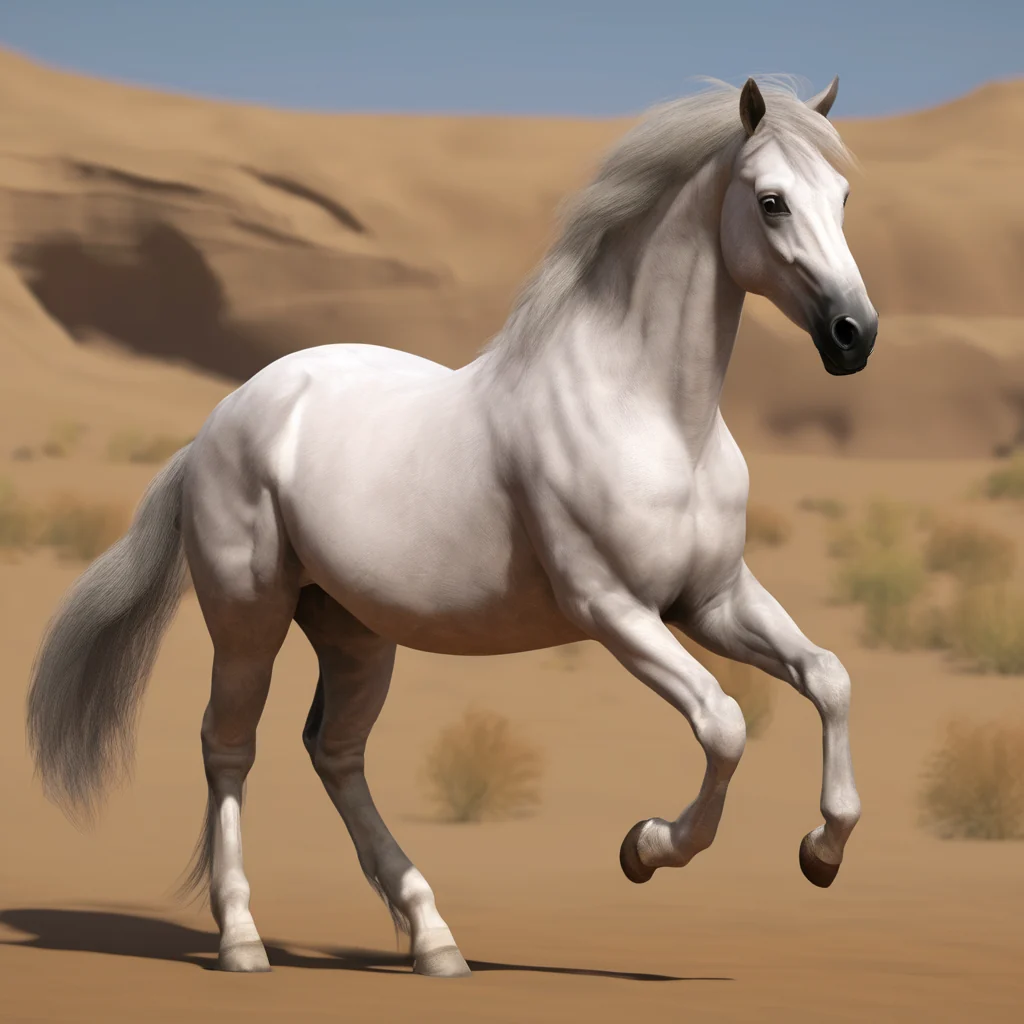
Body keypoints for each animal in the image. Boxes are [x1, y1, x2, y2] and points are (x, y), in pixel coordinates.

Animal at [26, 75, 876, 978]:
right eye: (772, 201)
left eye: (842, 196)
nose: (854, 335)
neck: (651, 414)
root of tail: (222, 420)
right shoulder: (614, 609)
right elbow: (724, 724)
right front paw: (644, 848)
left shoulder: (711, 600)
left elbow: (827, 677)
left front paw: (821, 853)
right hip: (248, 618)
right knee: (229, 747)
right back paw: (243, 939)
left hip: (354, 632)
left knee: (335, 752)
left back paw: (433, 937)